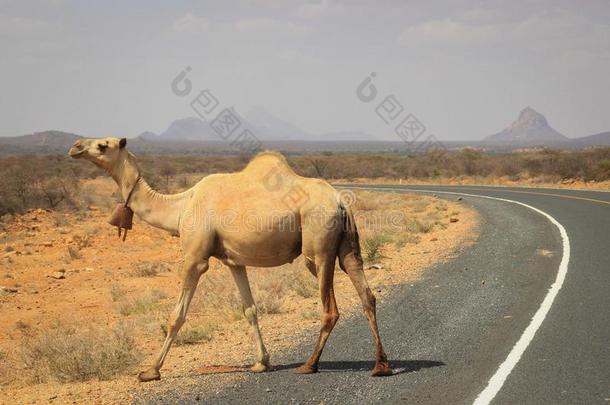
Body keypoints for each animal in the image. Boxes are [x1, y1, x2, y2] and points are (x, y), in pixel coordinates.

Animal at [66, 137, 390, 380]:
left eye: (103, 145)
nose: (75, 146)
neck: (181, 206)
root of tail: (339, 201)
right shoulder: (234, 261)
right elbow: (250, 309)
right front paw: (261, 362)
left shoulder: (195, 257)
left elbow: (177, 315)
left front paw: (150, 371)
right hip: (347, 248)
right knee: (367, 294)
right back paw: (380, 366)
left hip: (318, 246)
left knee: (329, 307)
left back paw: (310, 365)